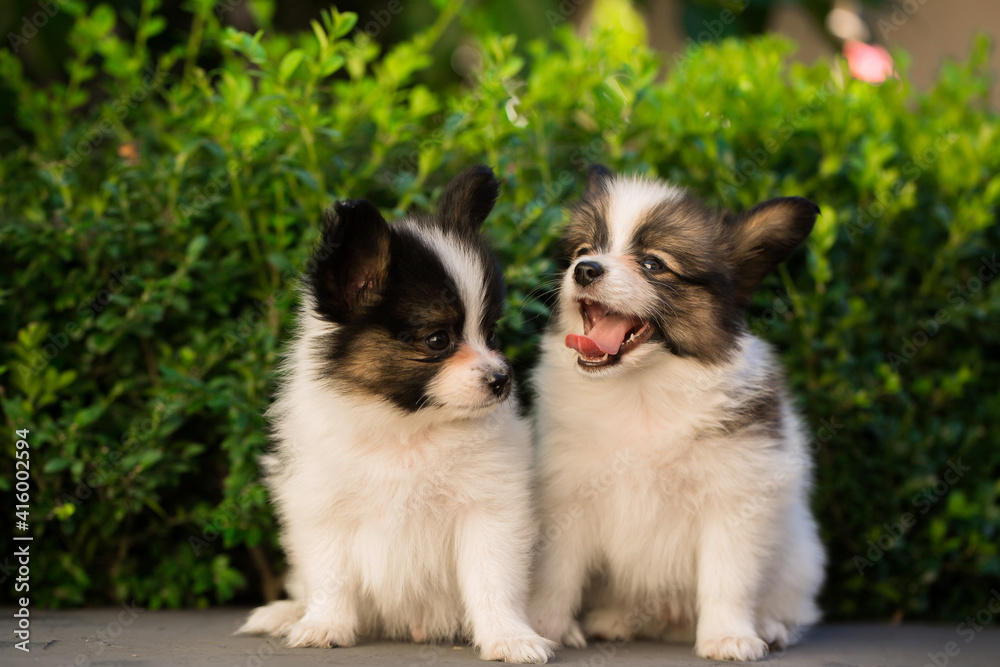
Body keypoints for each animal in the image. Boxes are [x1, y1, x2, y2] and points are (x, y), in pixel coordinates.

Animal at [239, 166, 560, 664]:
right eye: (438, 340)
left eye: (491, 333)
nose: (502, 379)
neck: (408, 428)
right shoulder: (323, 506)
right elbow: (330, 575)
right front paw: (324, 625)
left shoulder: (489, 510)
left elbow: (493, 582)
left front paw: (509, 637)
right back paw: (287, 613)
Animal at [532, 166, 828, 664]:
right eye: (583, 250)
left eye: (653, 264)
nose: (585, 269)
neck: (642, 391)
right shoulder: (569, 495)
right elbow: (556, 575)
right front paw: (544, 628)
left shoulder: (734, 497)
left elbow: (727, 577)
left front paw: (728, 636)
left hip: (797, 558)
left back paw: (770, 626)